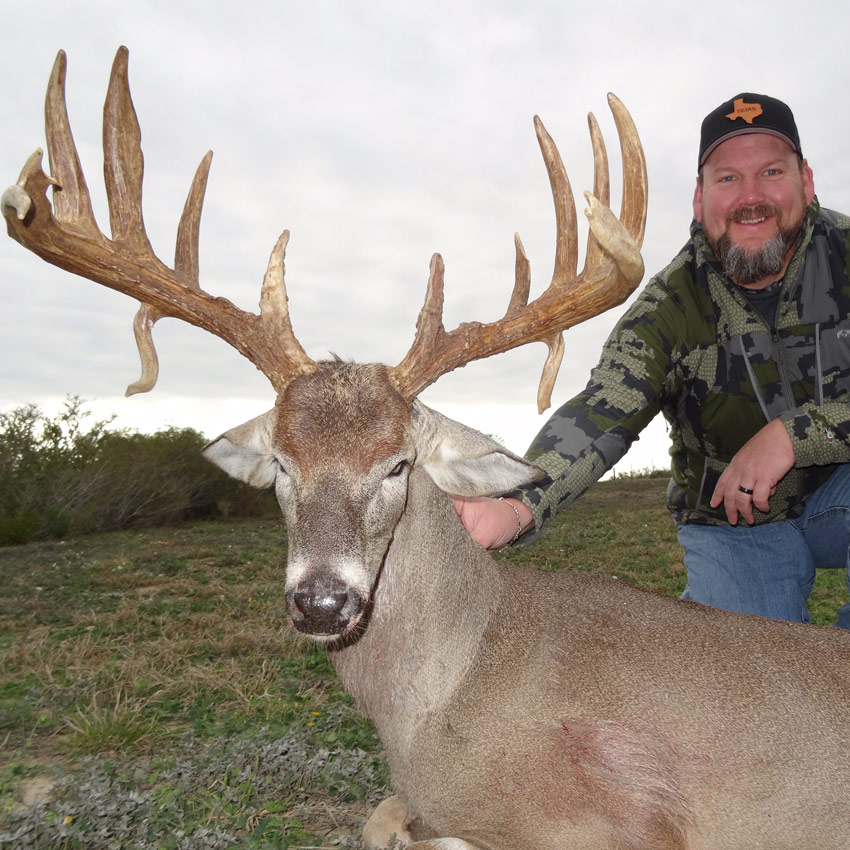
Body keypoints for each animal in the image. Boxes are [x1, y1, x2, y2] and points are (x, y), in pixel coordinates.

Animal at [4, 47, 850, 850]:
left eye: (398, 464)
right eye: (281, 463)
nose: (321, 601)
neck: (438, 696)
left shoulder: (631, 817)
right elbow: (381, 820)